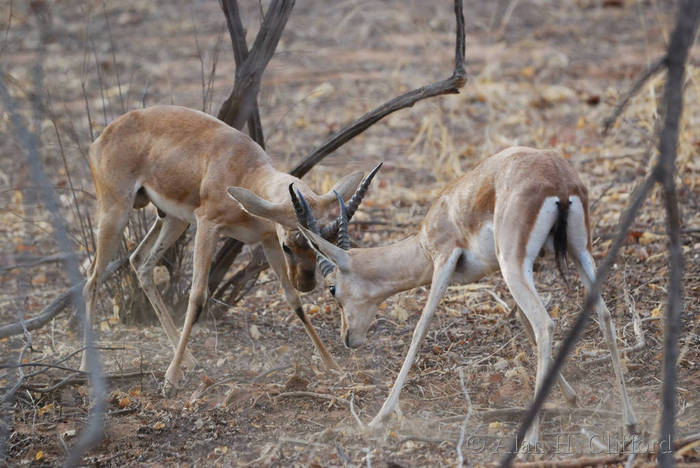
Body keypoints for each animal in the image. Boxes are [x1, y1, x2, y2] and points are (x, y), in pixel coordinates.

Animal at [84, 105, 380, 394]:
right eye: (289, 245)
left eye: (318, 246)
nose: (306, 283)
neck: (243, 170)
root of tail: (102, 137)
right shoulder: (208, 226)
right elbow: (197, 296)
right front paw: (170, 381)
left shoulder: (267, 240)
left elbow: (292, 299)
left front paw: (333, 365)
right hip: (116, 212)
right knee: (93, 279)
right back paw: (88, 366)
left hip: (172, 219)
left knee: (140, 261)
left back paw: (189, 359)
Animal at [296, 147, 640, 450]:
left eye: (332, 288)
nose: (347, 338)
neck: (427, 235)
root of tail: (558, 178)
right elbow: (521, 321)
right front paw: (571, 398)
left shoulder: (444, 260)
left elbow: (421, 328)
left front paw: (378, 419)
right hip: (577, 253)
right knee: (603, 316)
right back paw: (630, 423)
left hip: (515, 262)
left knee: (545, 323)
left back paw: (530, 439)